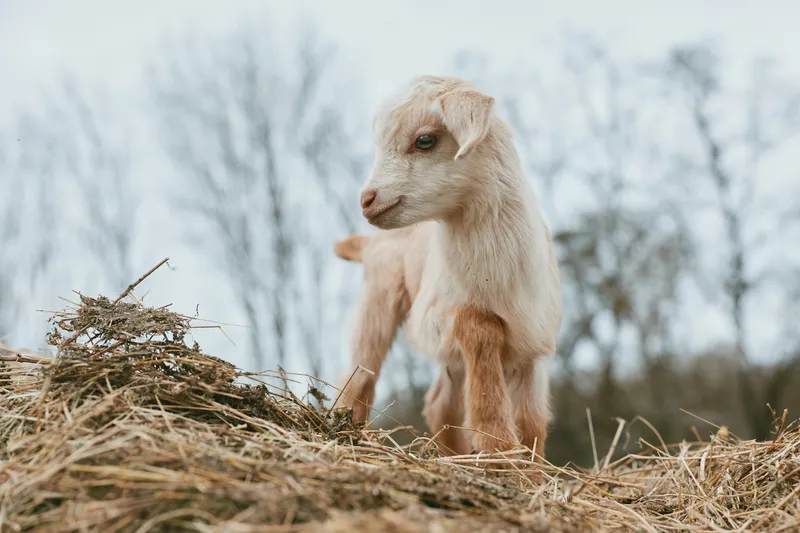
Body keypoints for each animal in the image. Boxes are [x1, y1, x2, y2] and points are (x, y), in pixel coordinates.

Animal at [333, 75, 562, 461]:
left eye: (425, 140)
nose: (367, 200)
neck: (495, 274)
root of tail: (366, 242)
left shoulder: (535, 343)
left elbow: (532, 422)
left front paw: (530, 465)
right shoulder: (435, 313)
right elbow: (479, 327)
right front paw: (497, 444)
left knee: (440, 402)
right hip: (380, 294)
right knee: (360, 375)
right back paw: (347, 428)